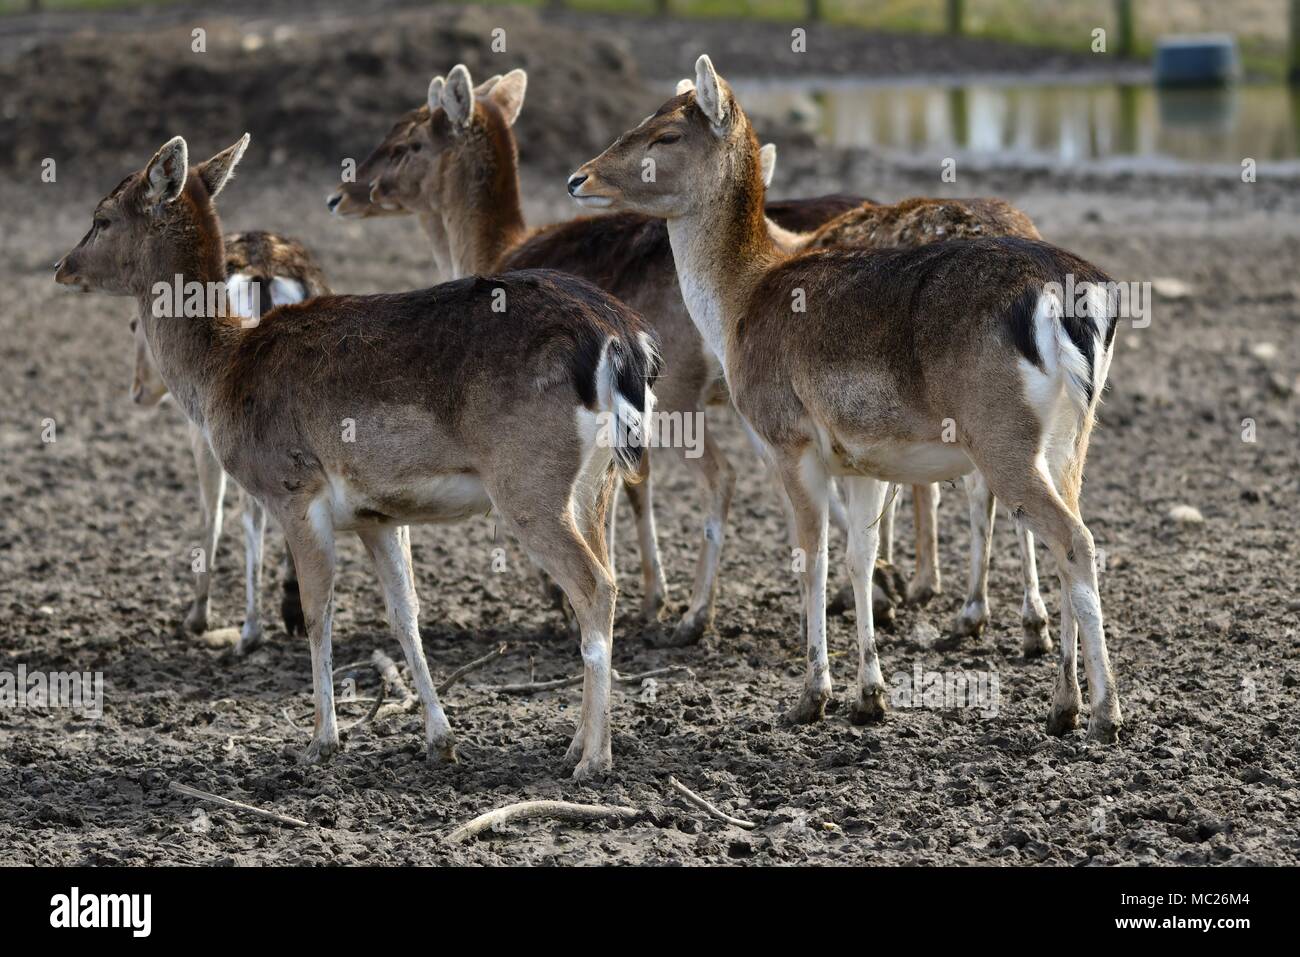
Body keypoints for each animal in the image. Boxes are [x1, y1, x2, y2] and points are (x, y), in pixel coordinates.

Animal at [126, 231, 330, 650]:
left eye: (134, 324)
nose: (136, 391)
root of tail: (265, 276)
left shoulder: (203, 433)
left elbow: (211, 514)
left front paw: (197, 616)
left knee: (251, 515)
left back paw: (250, 630)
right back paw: (289, 612)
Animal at [325, 63, 915, 647]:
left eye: (408, 142)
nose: (340, 195)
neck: (492, 247)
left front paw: (583, 598)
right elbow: (630, 483)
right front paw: (645, 595)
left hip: (682, 393)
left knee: (725, 479)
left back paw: (698, 616)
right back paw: (883, 590)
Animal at [574, 57, 1123, 748]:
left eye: (666, 134)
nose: (578, 177)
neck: (738, 303)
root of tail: (1076, 299)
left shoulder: (789, 438)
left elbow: (812, 556)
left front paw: (811, 696)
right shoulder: (865, 459)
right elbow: (861, 558)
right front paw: (869, 696)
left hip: (1003, 438)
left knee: (1073, 538)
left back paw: (1102, 711)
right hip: (1071, 436)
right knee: (1068, 536)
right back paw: (1062, 704)